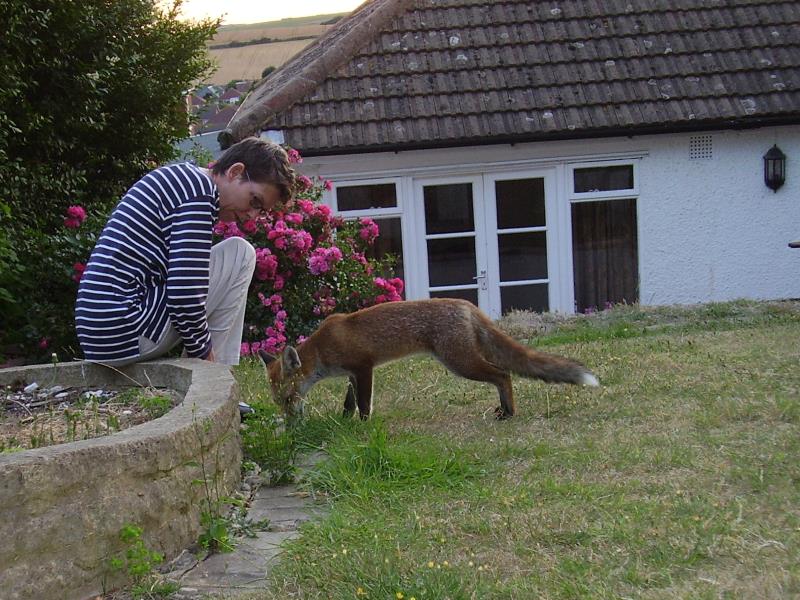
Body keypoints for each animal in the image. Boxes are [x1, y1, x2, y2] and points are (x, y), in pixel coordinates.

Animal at [260, 298, 596, 420]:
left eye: (289, 398)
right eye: (279, 401)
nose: (291, 424)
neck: (324, 348)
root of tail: (467, 304)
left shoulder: (364, 367)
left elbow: (364, 404)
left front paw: (361, 428)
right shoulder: (351, 375)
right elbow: (349, 402)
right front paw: (343, 421)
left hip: (460, 362)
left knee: (503, 374)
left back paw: (509, 412)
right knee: (503, 373)